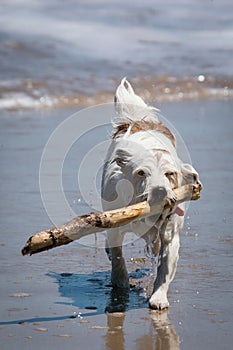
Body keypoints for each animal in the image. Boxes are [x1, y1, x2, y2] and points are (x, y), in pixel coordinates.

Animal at [101, 79, 201, 308]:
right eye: (141, 173)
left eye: (170, 174)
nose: (159, 193)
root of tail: (139, 121)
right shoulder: (115, 227)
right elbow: (118, 257)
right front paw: (120, 282)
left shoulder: (171, 234)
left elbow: (165, 269)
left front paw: (158, 298)